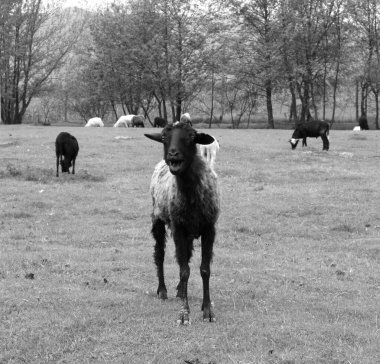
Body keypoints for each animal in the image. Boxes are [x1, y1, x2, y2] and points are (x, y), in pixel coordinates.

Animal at [144, 122, 220, 324]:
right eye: (164, 137)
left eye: (192, 137)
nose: (173, 154)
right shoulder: (178, 227)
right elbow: (184, 270)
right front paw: (184, 313)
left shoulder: (209, 228)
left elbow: (204, 269)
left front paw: (207, 309)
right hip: (158, 219)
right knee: (160, 255)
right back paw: (163, 291)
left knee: (186, 257)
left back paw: (180, 290)